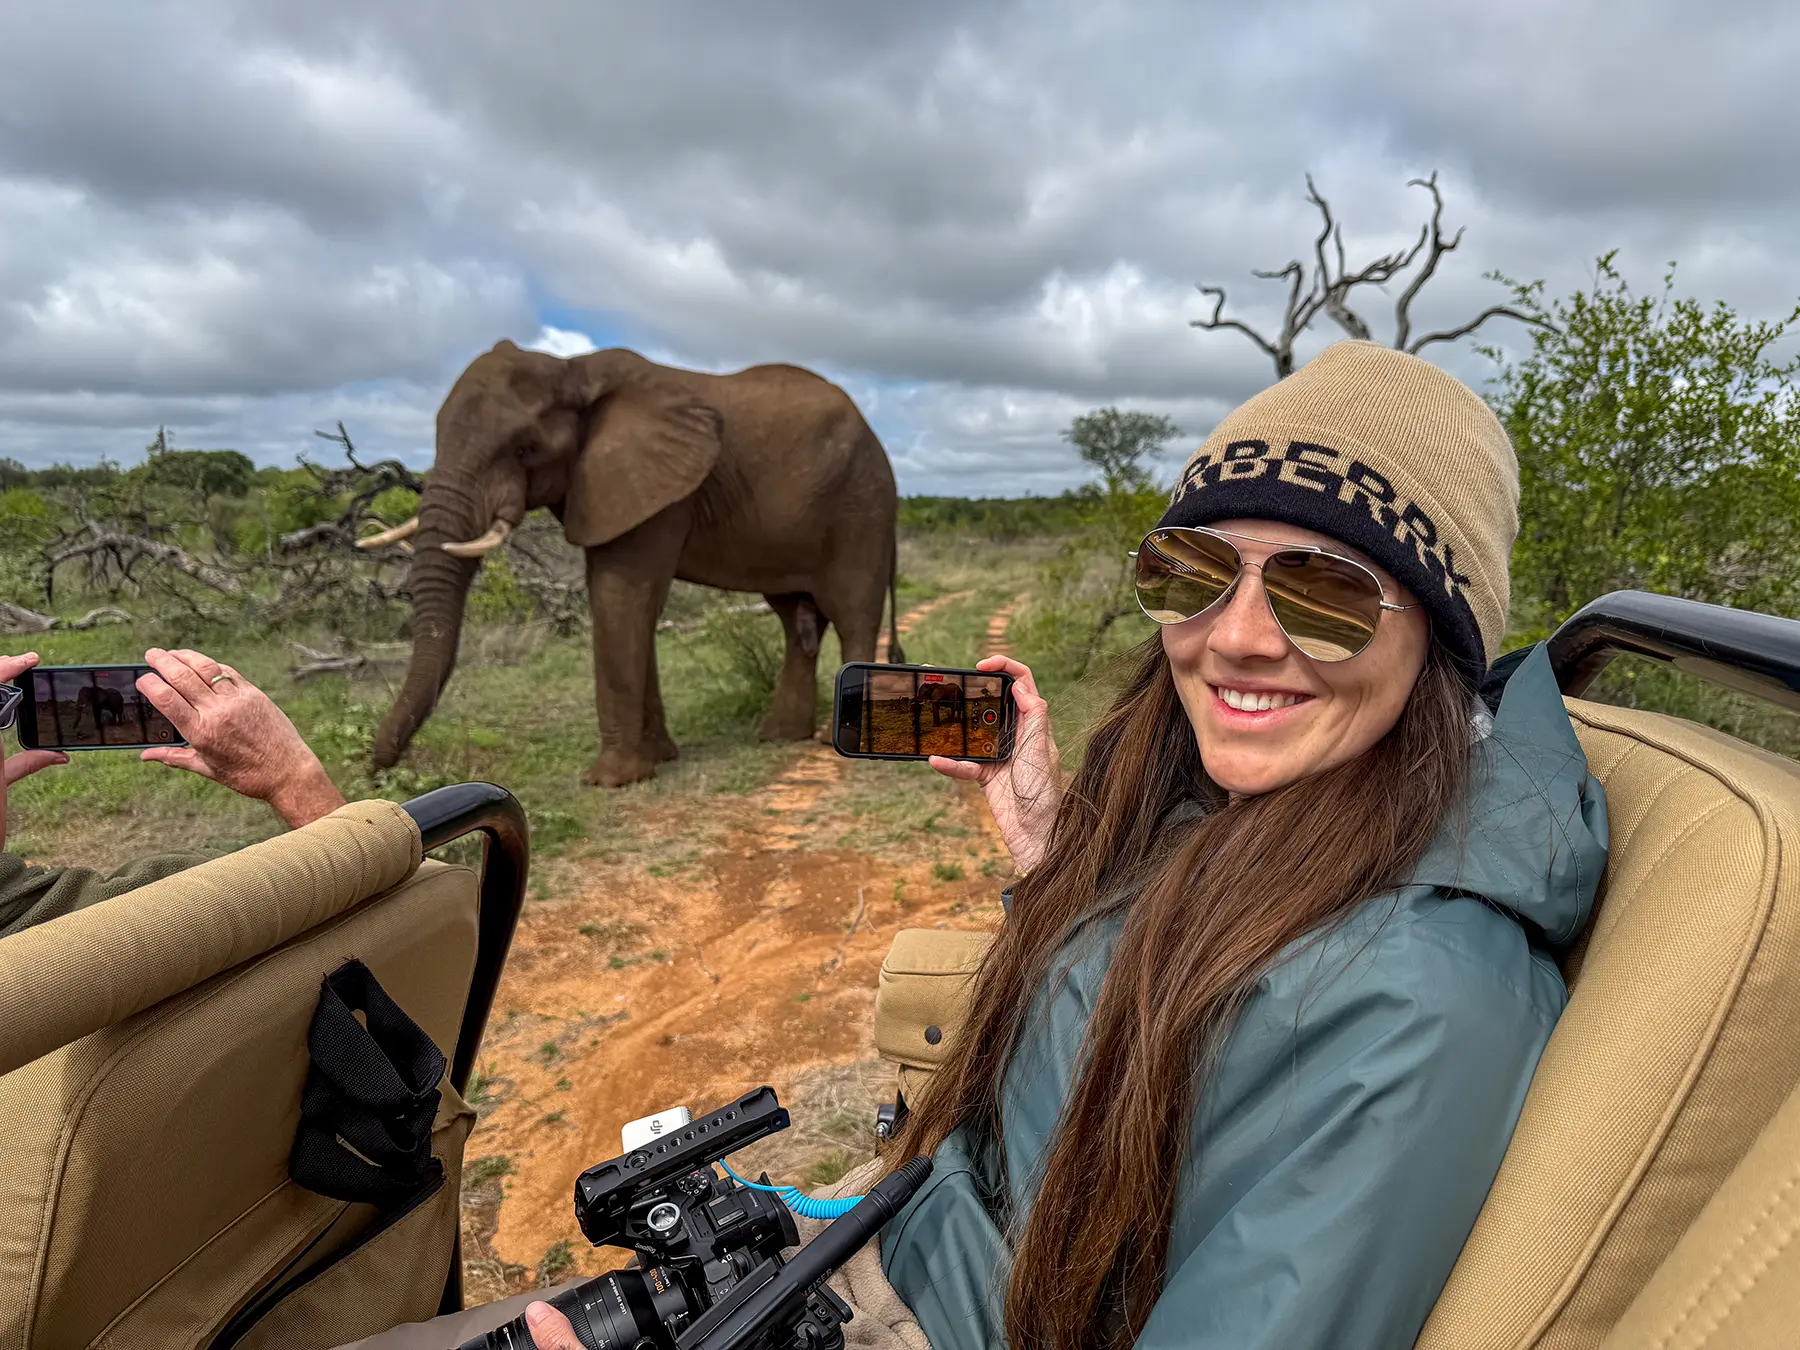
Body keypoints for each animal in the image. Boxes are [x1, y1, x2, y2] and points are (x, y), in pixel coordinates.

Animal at [363, 340, 905, 788]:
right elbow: (635, 606)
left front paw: (610, 781)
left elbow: (619, 596)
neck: (571, 368)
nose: (378, 768)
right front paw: (661, 759)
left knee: (852, 610)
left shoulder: (656, 491)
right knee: (797, 621)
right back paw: (777, 737)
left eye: (524, 448)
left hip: (863, 504)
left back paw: (834, 744)